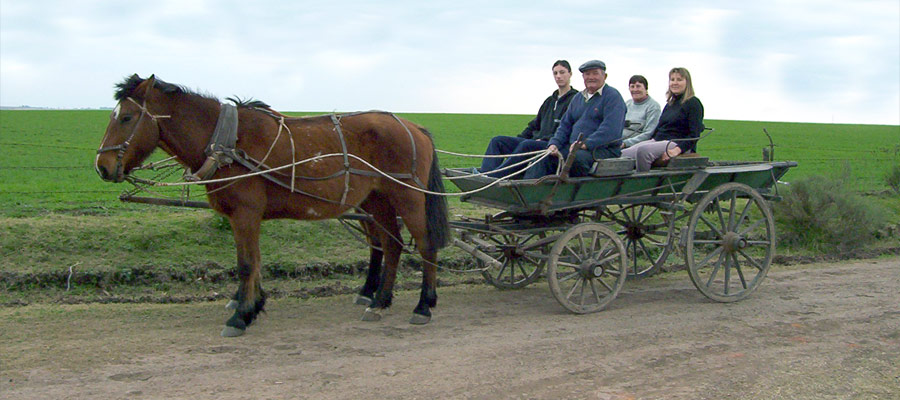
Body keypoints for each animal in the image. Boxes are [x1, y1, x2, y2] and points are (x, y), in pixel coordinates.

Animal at [93, 73, 450, 336]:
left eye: (126, 117)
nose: (102, 166)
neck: (227, 143)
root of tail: (414, 127)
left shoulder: (245, 214)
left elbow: (246, 264)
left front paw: (241, 316)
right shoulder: (241, 217)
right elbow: (253, 261)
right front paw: (252, 305)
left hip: (407, 197)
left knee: (424, 245)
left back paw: (423, 305)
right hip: (376, 200)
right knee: (391, 245)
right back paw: (379, 302)